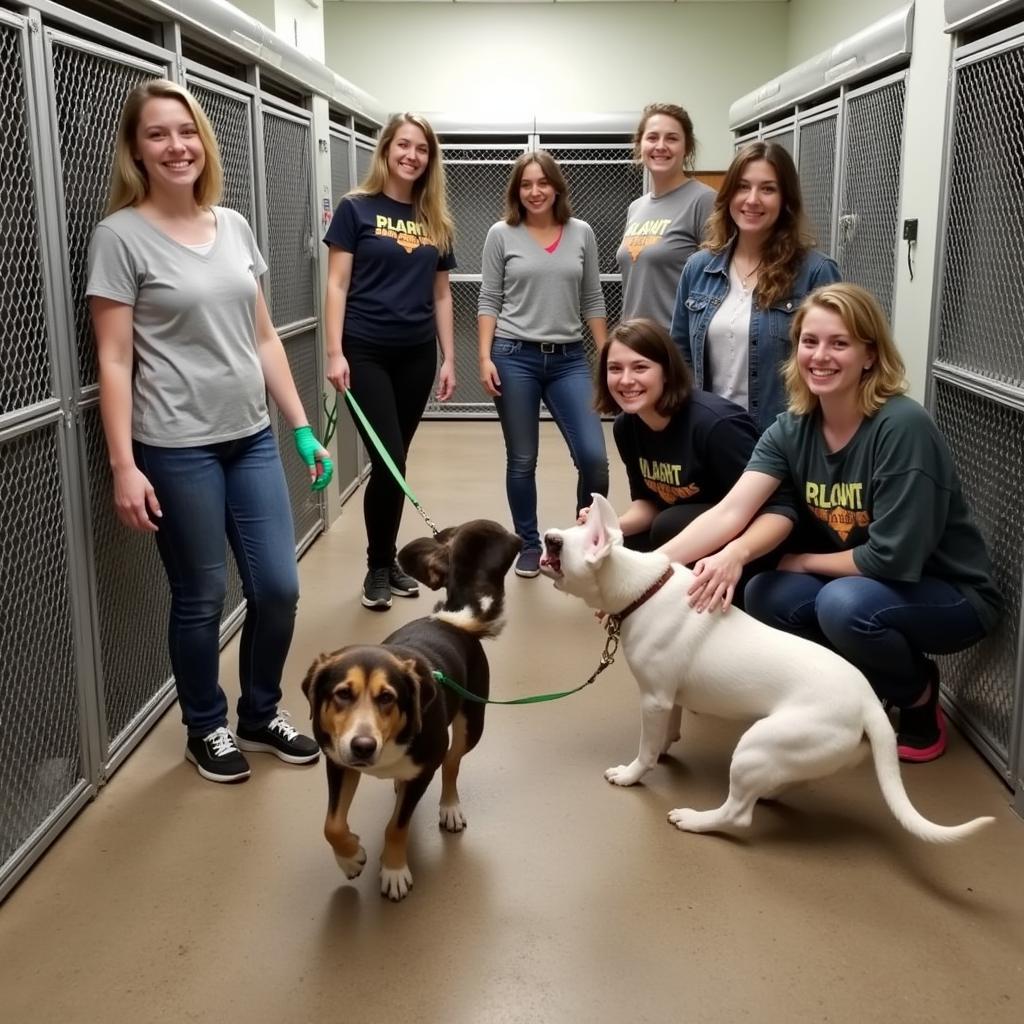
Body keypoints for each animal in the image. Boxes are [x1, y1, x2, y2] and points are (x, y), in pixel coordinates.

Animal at [299, 524, 516, 901]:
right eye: (342, 694)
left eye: (388, 697)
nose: (363, 746)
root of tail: (450, 621)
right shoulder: (338, 762)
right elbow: (332, 824)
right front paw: (351, 857)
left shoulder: (423, 768)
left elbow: (396, 826)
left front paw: (394, 870)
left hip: (472, 724)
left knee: (452, 762)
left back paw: (449, 806)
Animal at [544, 493, 991, 839]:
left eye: (559, 545)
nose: (546, 536)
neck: (639, 587)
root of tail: (867, 703)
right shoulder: (668, 698)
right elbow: (667, 730)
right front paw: (667, 748)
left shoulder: (653, 699)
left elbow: (645, 749)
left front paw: (632, 773)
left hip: (756, 745)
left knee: (738, 814)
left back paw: (696, 819)